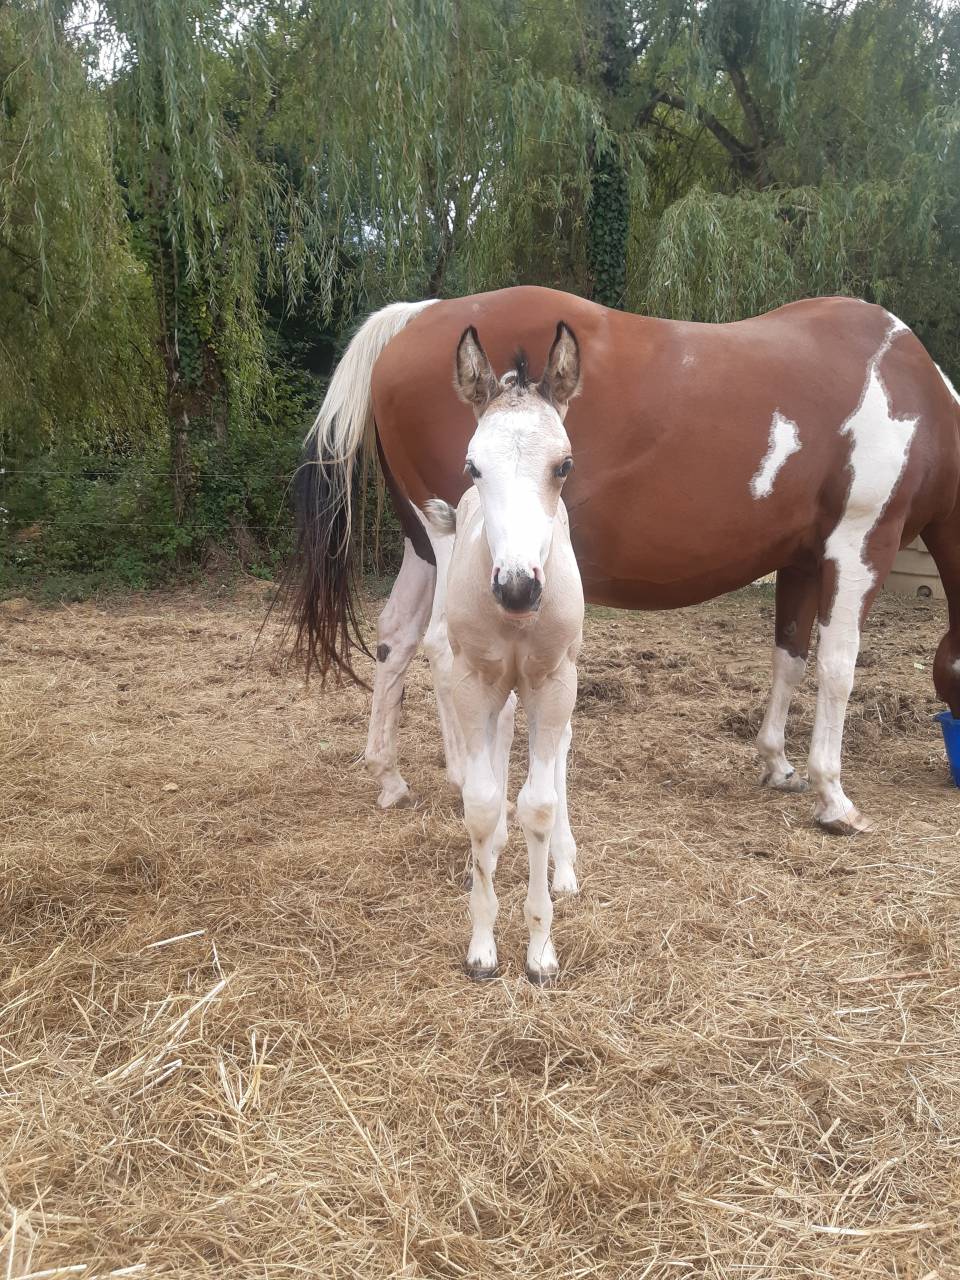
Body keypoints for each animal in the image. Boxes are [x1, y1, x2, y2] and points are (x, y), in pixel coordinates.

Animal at [284, 286, 960, 835]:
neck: (915, 393)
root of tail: (417, 317)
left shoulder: (799, 561)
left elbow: (789, 660)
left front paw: (777, 763)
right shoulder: (859, 544)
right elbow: (839, 669)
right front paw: (833, 797)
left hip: (426, 546)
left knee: (396, 639)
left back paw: (390, 778)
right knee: (444, 648)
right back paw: (463, 777)